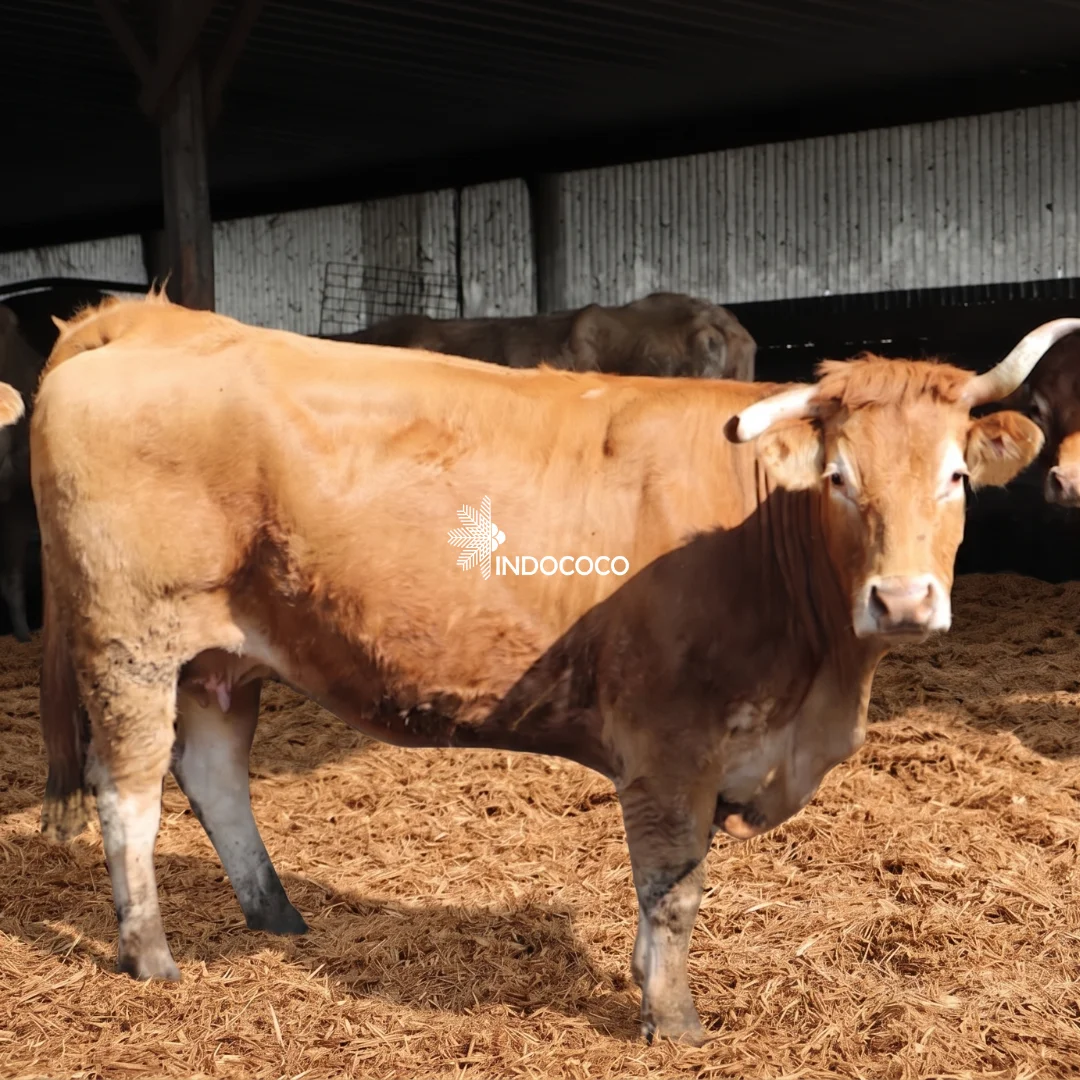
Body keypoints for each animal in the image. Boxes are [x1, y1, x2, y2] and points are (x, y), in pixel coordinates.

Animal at [32, 292, 1075, 1045]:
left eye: (953, 476)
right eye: (841, 479)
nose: (902, 601)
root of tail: (150, 316)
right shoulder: (669, 741)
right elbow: (673, 886)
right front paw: (675, 1022)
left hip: (224, 654)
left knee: (213, 772)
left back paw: (277, 917)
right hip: (133, 638)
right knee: (129, 793)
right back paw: (151, 956)